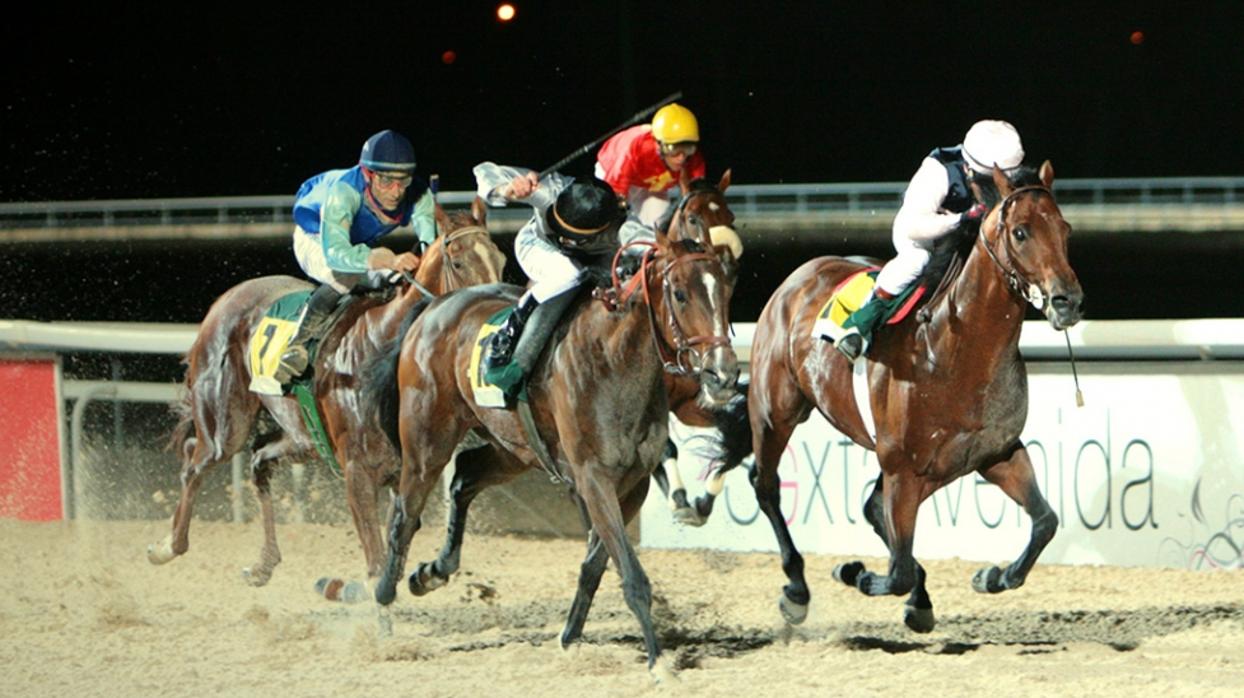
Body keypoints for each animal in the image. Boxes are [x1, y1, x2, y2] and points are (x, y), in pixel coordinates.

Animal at [149, 201, 505, 582]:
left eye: (500, 259)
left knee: (259, 458)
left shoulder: (403, 471)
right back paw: (168, 546)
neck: (383, 349)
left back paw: (263, 563)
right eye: (459, 262)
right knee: (195, 459)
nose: (493, 317)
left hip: (303, 437)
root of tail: (225, 299)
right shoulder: (357, 472)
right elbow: (377, 563)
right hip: (225, 425)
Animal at [363, 226, 741, 676]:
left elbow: (596, 563)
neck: (613, 359)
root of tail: (433, 306)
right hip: (427, 437)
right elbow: (631, 575)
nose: (723, 374)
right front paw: (657, 662)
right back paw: (384, 603)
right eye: (680, 294)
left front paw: (570, 636)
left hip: (511, 448)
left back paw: (433, 572)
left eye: (726, 289)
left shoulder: (632, 484)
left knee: (465, 474)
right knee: (405, 513)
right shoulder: (593, 477)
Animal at [741, 164, 1084, 632]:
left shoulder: (995, 453)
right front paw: (855, 572)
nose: (1068, 302)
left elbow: (1046, 521)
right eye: (1020, 232)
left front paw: (993, 576)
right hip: (774, 411)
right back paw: (797, 589)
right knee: (767, 485)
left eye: (1065, 229)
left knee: (871, 509)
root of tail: (801, 275)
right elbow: (897, 570)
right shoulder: (903, 467)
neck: (958, 349)